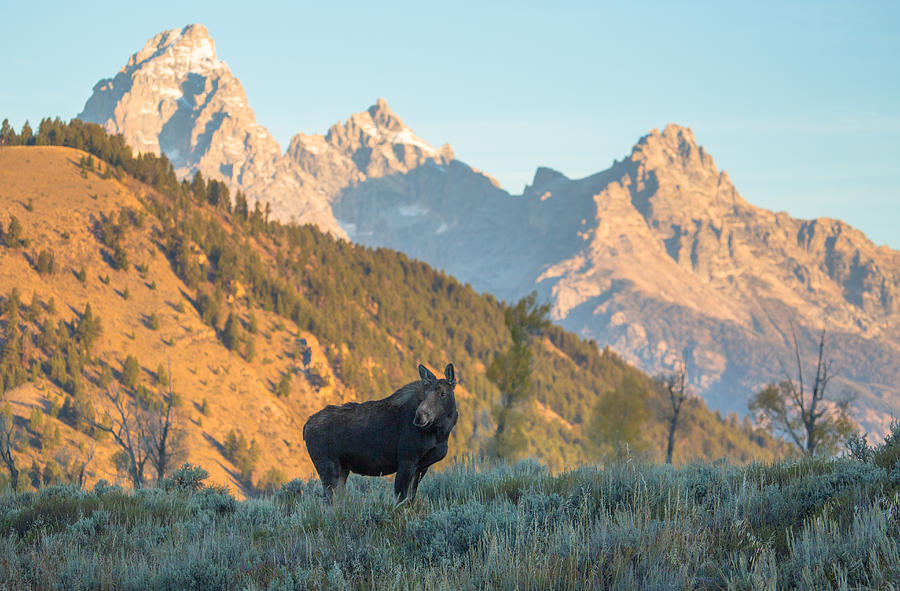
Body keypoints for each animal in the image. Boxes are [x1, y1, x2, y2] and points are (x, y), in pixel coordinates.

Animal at [304, 360, 460, 504]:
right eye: (425, 394)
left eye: (443, 394)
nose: (419, 417)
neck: (441, 433)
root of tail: (305, 428)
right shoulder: (406, 460)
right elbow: (401, 500)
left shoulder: (422, 466)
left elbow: (410, 499)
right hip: (328, 466)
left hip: (342, 469)